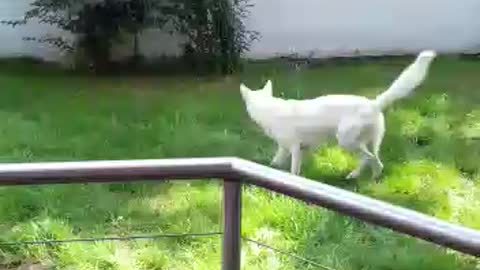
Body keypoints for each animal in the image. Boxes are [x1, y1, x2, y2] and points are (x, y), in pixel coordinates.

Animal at [239, 50, 436, 178]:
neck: (269, 109)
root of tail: (373, 104)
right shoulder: (294, 149)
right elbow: (275, 163)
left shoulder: (294, 148)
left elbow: (293, 170)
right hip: (369, 142)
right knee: (375, 160)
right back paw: (370, 176)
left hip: (345, 141)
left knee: (368, 158)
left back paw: (358, 175)